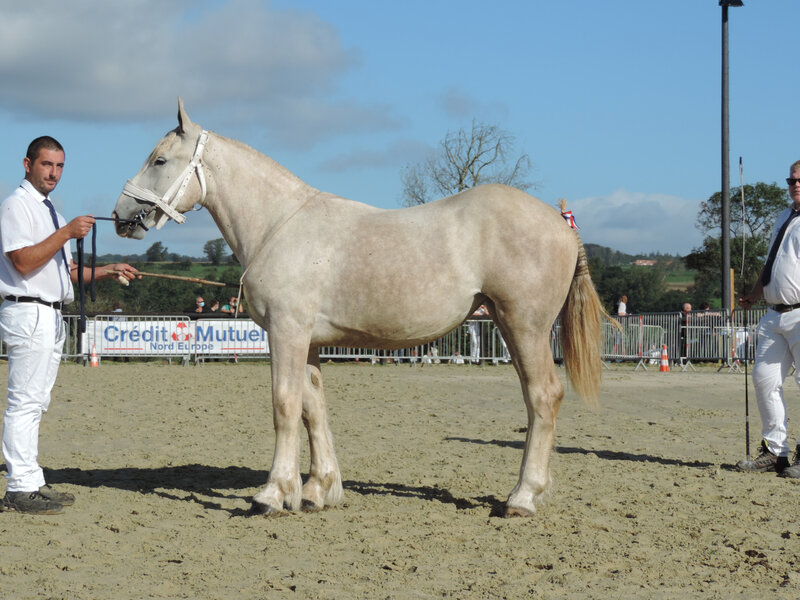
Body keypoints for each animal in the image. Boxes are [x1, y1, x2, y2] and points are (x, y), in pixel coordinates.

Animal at [111, 98, 608, 516]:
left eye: (159, 160)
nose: (120, 216)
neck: (278, 224)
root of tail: (560, 222)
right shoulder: (307, 341)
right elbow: (314, 408)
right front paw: (317, 490)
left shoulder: (286, 332)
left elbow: (284, 404)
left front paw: (272, 494)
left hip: (522, 325)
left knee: (543, 396)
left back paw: (522, 497)